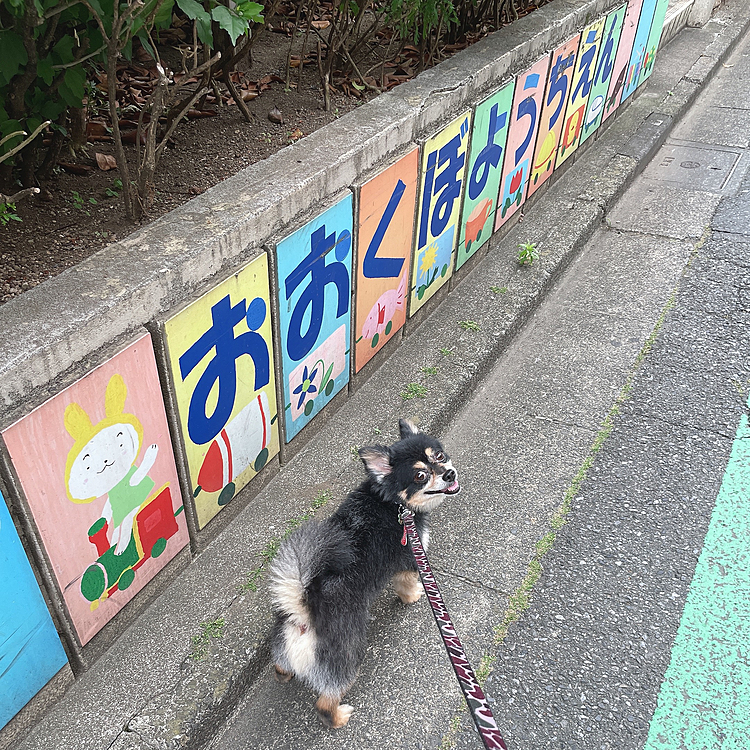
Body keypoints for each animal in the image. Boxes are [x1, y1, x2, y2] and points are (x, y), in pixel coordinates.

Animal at [268, 418, 462, 728]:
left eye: (439, 456)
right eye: (420, 475)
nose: (449, 473)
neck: (393, 503)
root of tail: (303, 610)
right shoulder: (409, 561)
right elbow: (406, 586)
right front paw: (414, 596)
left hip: (284, 648)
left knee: (280, 666)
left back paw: (284, 674)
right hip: (348, 656)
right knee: (325, 702)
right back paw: (339, 717)